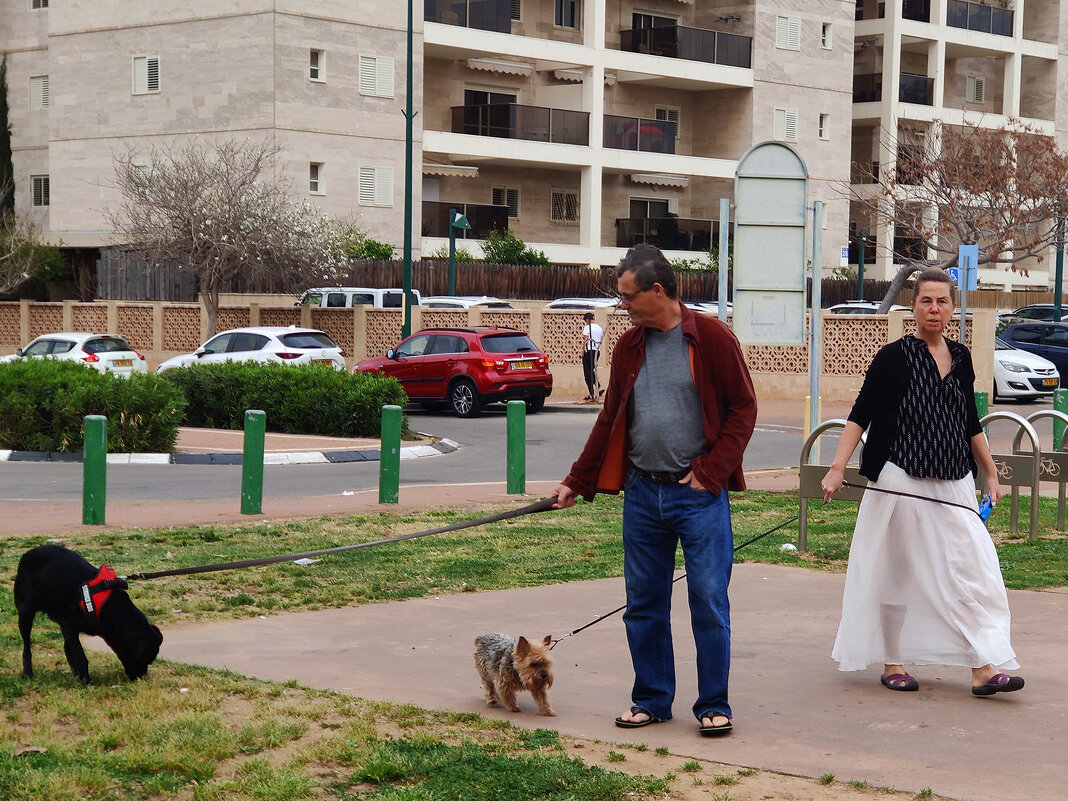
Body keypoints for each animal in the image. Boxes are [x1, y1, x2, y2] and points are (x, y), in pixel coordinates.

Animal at [14, 546, 161, 683]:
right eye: (143, 658)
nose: (140, 678)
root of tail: (26, 554)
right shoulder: (68, 625)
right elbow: (80, 657)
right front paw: (86, 682)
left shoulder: (67, 627)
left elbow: (71, 651)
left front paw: (80, 678)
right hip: (25, 613)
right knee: (27, 647)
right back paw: (27, 672)